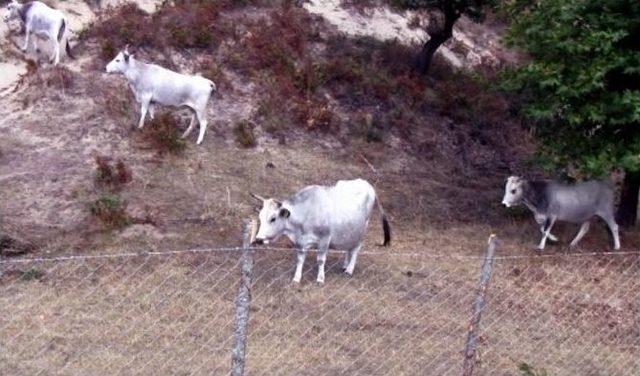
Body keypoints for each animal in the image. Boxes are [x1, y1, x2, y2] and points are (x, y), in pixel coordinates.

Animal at [252, 178, 392, 284]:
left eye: (273, 218)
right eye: (260, 217)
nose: (258, 239)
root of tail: (366, 183)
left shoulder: (325, 239)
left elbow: (320, 260)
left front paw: (320, 278)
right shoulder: (300, 242)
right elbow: (300, 259)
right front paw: (296, 278)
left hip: (362, 230)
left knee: (356, 249)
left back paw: (350, 269)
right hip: (350, 230)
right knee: (349, 248)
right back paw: (345, 265)